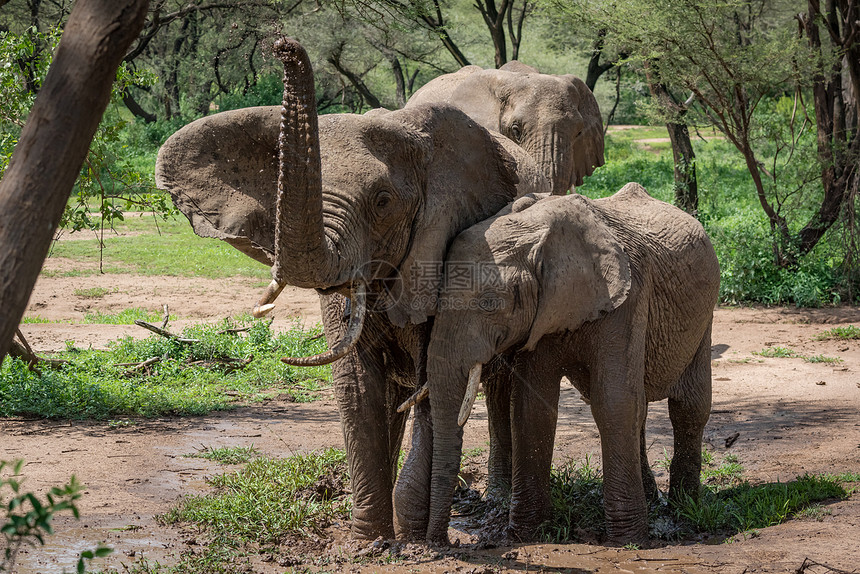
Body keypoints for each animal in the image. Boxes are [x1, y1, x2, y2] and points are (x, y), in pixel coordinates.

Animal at [155, 38, 552, 544]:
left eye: (382, 202)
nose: (283, 45)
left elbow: (432, 376)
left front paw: (412, 535)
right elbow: (357, 384)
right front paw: (371, 541)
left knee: (494, 384)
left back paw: (494, 499)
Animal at [422, 183, 720, 544]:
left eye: (490, 303)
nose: (443, 542)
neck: (539, 235)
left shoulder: (629, 299)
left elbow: (614, 402)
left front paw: (629, 542)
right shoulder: (540, 316)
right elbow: (531, 407)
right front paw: (527, 533)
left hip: (705, 313)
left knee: (688, 406)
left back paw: (684, 509)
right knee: (642, 408)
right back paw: (655, 500)